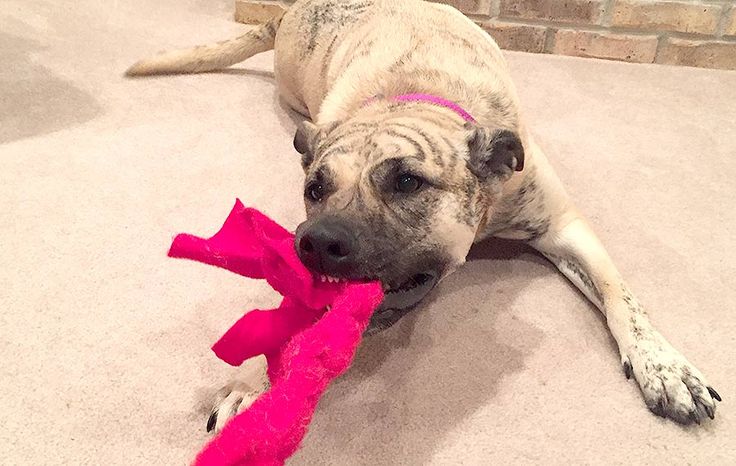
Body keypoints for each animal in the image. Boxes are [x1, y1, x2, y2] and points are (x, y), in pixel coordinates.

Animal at [126, 0, 720, 432]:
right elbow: (288, 322)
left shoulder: (563, 224)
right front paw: (254, 384)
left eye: (407, 182)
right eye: (314, 189)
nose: (316, 241)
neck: (419, 97)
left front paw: (665, 367)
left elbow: (623, 297)